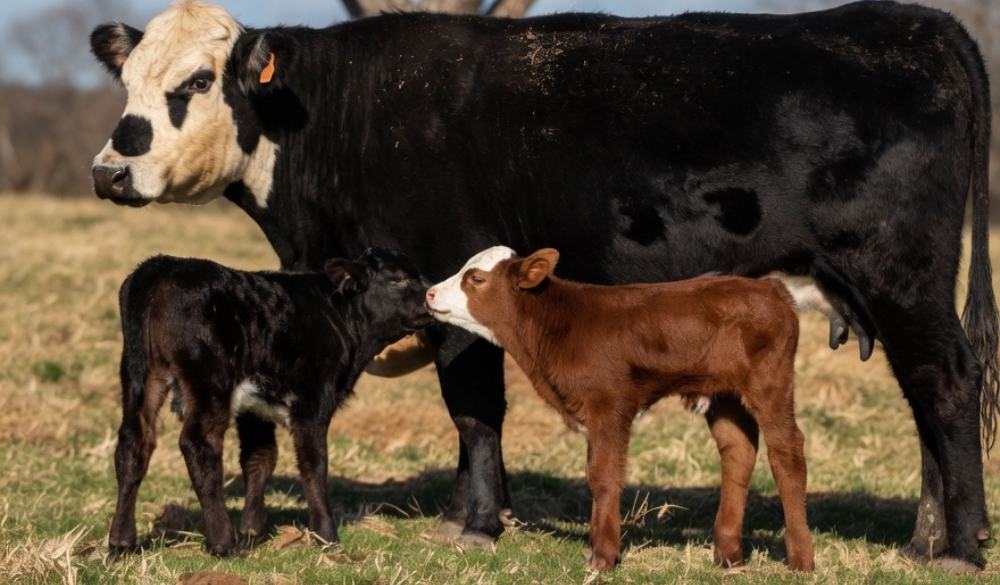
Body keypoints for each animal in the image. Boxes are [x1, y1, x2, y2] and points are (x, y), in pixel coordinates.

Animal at [109, 249, 433, 555]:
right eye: (398, 279)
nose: (432, 296)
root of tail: (161, 267)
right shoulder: (312, 401)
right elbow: (314, 463)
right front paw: (326, 535)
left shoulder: (254, 408)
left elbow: (260, 458)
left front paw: (253, 530)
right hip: (208, 382)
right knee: (199, 445)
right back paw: (223, 543)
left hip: (139, 374)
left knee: (134, 443)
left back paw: (121, 542)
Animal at [427, 246, 812, 571]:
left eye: (477, 279)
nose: (429, 293)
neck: (557, 326)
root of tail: (772, 290)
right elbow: (595, 473)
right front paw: (596, 550)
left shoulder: (609, 405)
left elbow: (604, 476)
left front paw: (603, 558)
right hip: (724, 393)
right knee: (738, 450)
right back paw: (728, 555)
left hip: (770, 382)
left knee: (787, 453)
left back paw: (800, 560)